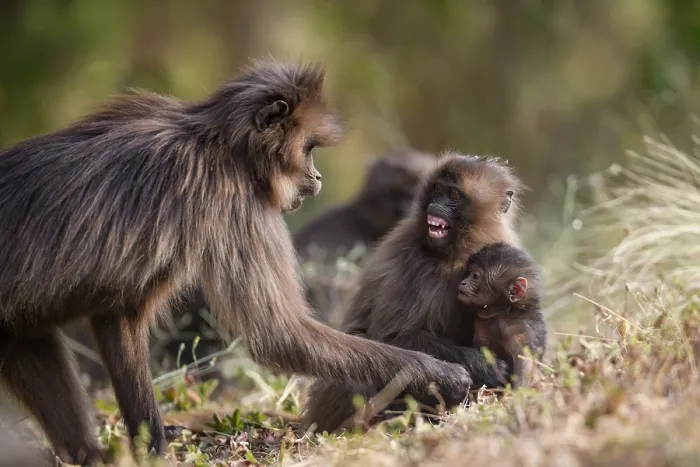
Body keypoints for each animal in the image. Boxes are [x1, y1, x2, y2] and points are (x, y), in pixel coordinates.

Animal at [0, 59, 472, 465]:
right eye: (309, 150)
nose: (318, 178)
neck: (217, 141)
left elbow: (119, 318)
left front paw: (149, 445)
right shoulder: (234, 200)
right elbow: (278, 334)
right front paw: (437, 372)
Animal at [301, 152, 524, 434]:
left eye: (453, 195)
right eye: (437, 190)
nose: (435, 206)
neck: (459, 250)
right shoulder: (413, 262)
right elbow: (392, 337)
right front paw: (484, 365)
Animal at [456, 243, 547, 388]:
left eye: (475, 276)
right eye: (468, 273)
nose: (463, 282)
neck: (506, 311)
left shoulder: (515, 330)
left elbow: (525, 365)